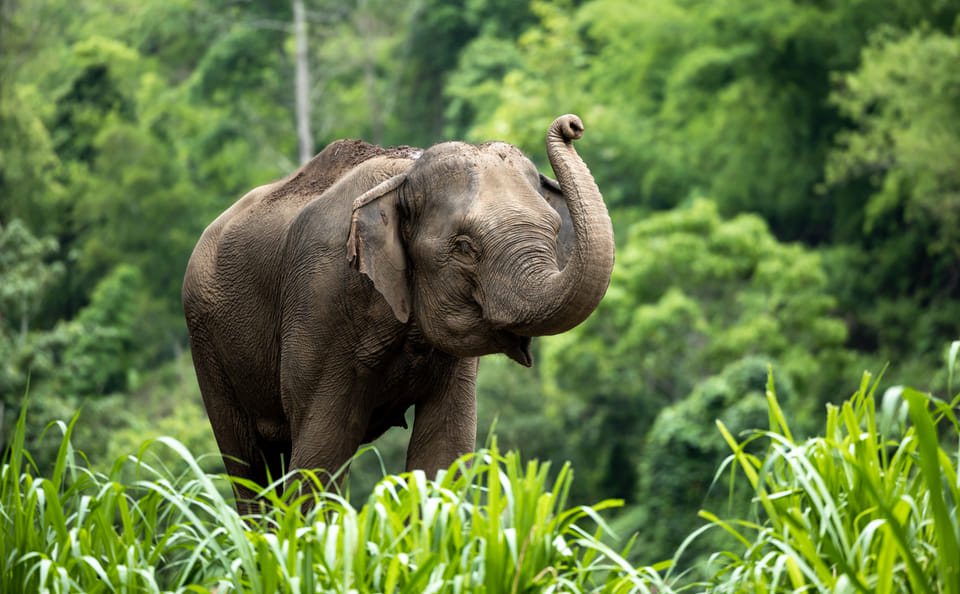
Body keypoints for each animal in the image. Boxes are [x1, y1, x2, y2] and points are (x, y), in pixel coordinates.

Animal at [182, 114, 614, 514]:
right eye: (464, 247)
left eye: (555, 229)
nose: (572, 124)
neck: (405, 176)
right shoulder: (321, 298)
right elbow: (322, 452)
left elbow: (444, 448)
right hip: (207, 343)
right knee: (250, 466)